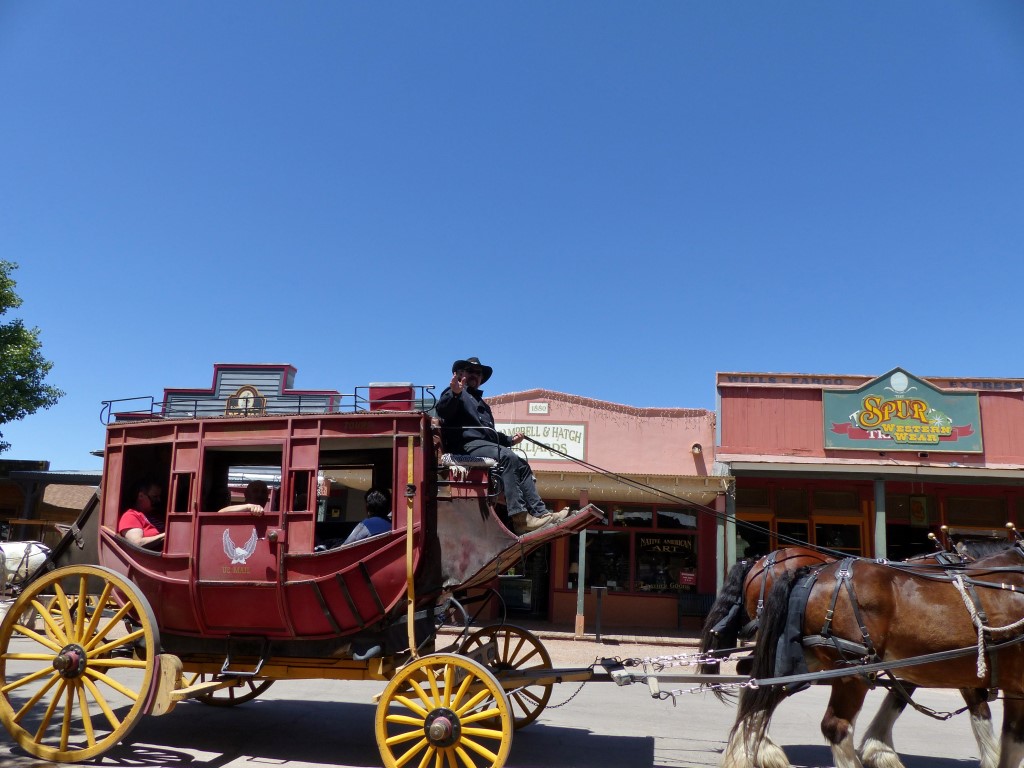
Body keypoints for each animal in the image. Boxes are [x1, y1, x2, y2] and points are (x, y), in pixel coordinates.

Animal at [722, 542, 1024, 768]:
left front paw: (879, 749)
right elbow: (982, 712)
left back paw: (748, 751)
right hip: (851, 666)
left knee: (759, 690)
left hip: (802, 658)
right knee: (833, 725)